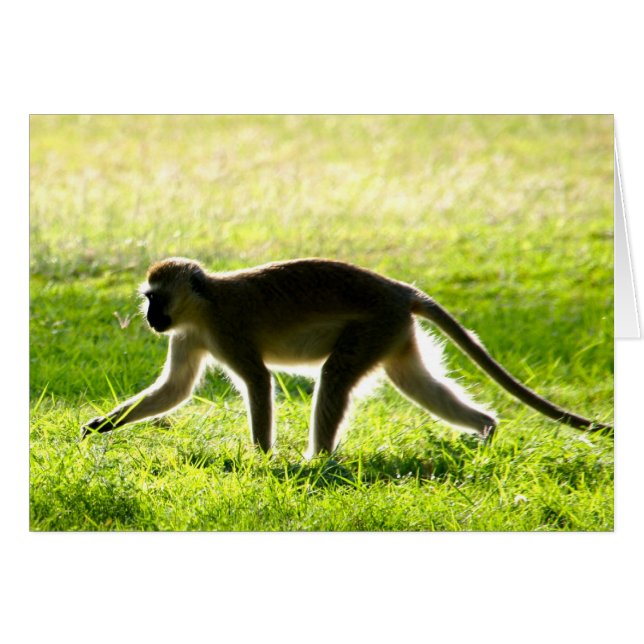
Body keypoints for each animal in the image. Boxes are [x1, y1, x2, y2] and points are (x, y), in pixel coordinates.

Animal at [81, 257, 612, 456]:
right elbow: (174, 390)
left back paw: (316, 461)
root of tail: (400, 290)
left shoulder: (226, 329)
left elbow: (257, 382)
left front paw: (262, 457)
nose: (151, 318)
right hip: (393, 333)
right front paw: (101, 426)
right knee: (415, 382)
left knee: (335, 376)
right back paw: (484, 428)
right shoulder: (187, 334)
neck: (204, 302)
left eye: (156, 298)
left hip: (375, 325)